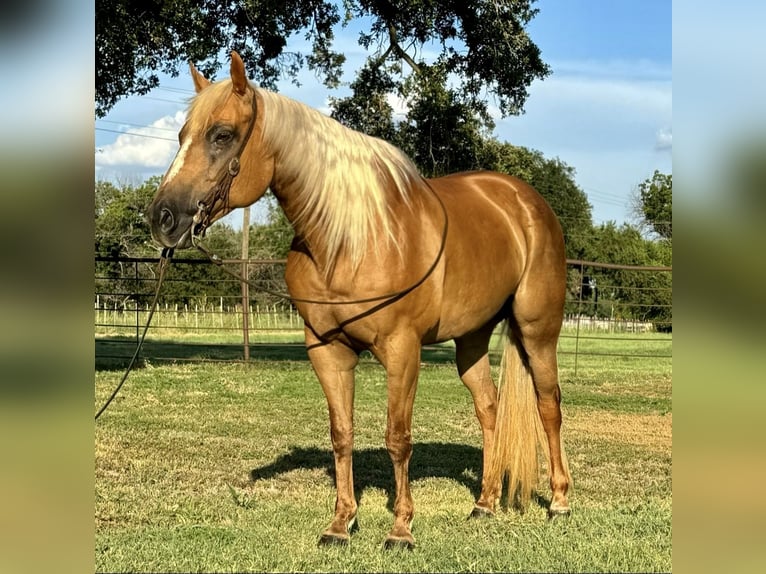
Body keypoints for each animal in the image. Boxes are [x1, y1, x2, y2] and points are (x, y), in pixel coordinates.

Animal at [148, 50, 568, 548]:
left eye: (222, 134)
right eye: (181, 135)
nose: (162, 217)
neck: (349, 241)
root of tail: (525, 201)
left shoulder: (402, 351)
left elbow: (398, 437)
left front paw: (401, 529)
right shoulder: (327, 350)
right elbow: (342, 434)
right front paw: (340, 523)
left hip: (538, 332)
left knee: (549, 407)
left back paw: (560, 501)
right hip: (472, 338)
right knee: (489, 408)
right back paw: (484, 503)